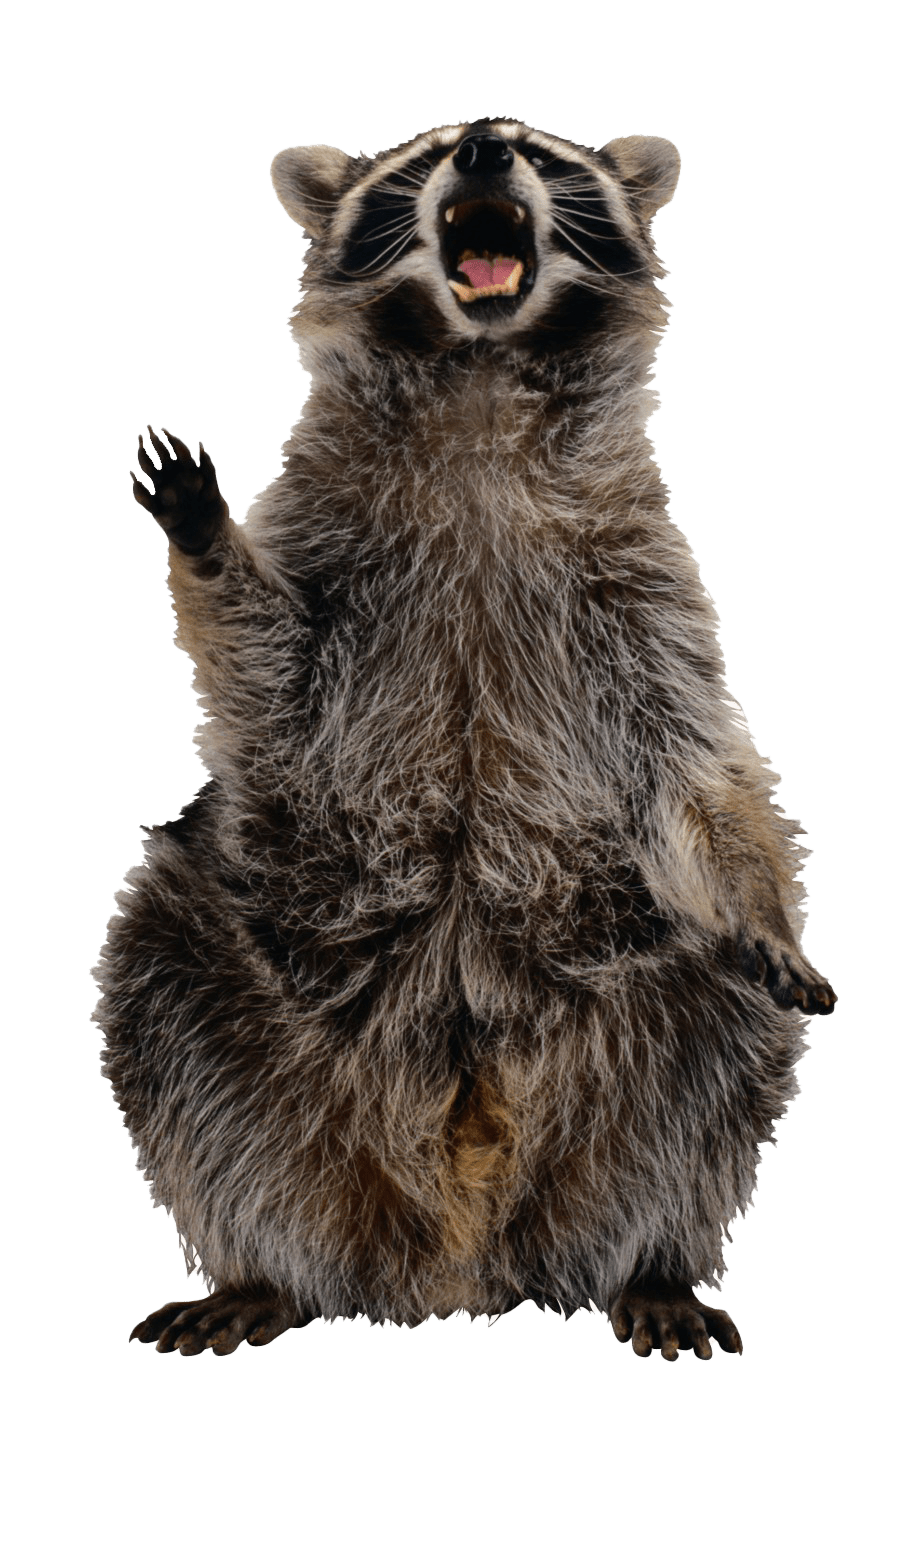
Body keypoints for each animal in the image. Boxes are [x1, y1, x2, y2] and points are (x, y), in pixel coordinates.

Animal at [93, 117, 837, 1361]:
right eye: (421, 156)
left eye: (545, 152)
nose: (486, 146)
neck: (478, 377)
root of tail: (455, 1254)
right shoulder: (330, 553)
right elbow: (266, 667)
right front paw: (206, 539)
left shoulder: (641, 585)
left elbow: (697, 758)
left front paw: (763, 902)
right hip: (233, 980)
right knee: (163, 991)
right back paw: (256, 1263)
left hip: (648, 996)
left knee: (718, 1049)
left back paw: (658, 1258)